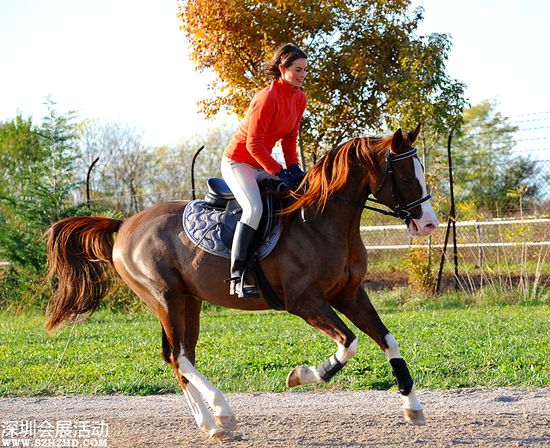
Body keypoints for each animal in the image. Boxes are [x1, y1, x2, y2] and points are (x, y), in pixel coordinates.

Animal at [44, 126, 440, 438]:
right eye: (406, 176)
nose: (429, 224)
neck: (322, 221)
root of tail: (124, 223)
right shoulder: (304, 302)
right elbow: (349, 343)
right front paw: (302, 375)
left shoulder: (349, 294)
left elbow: (386, 339)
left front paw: (413, 406)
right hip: (166, 299)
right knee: (180, 358)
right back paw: (222, 412)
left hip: (189, 301)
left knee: (179, 358)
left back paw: (211, 424)